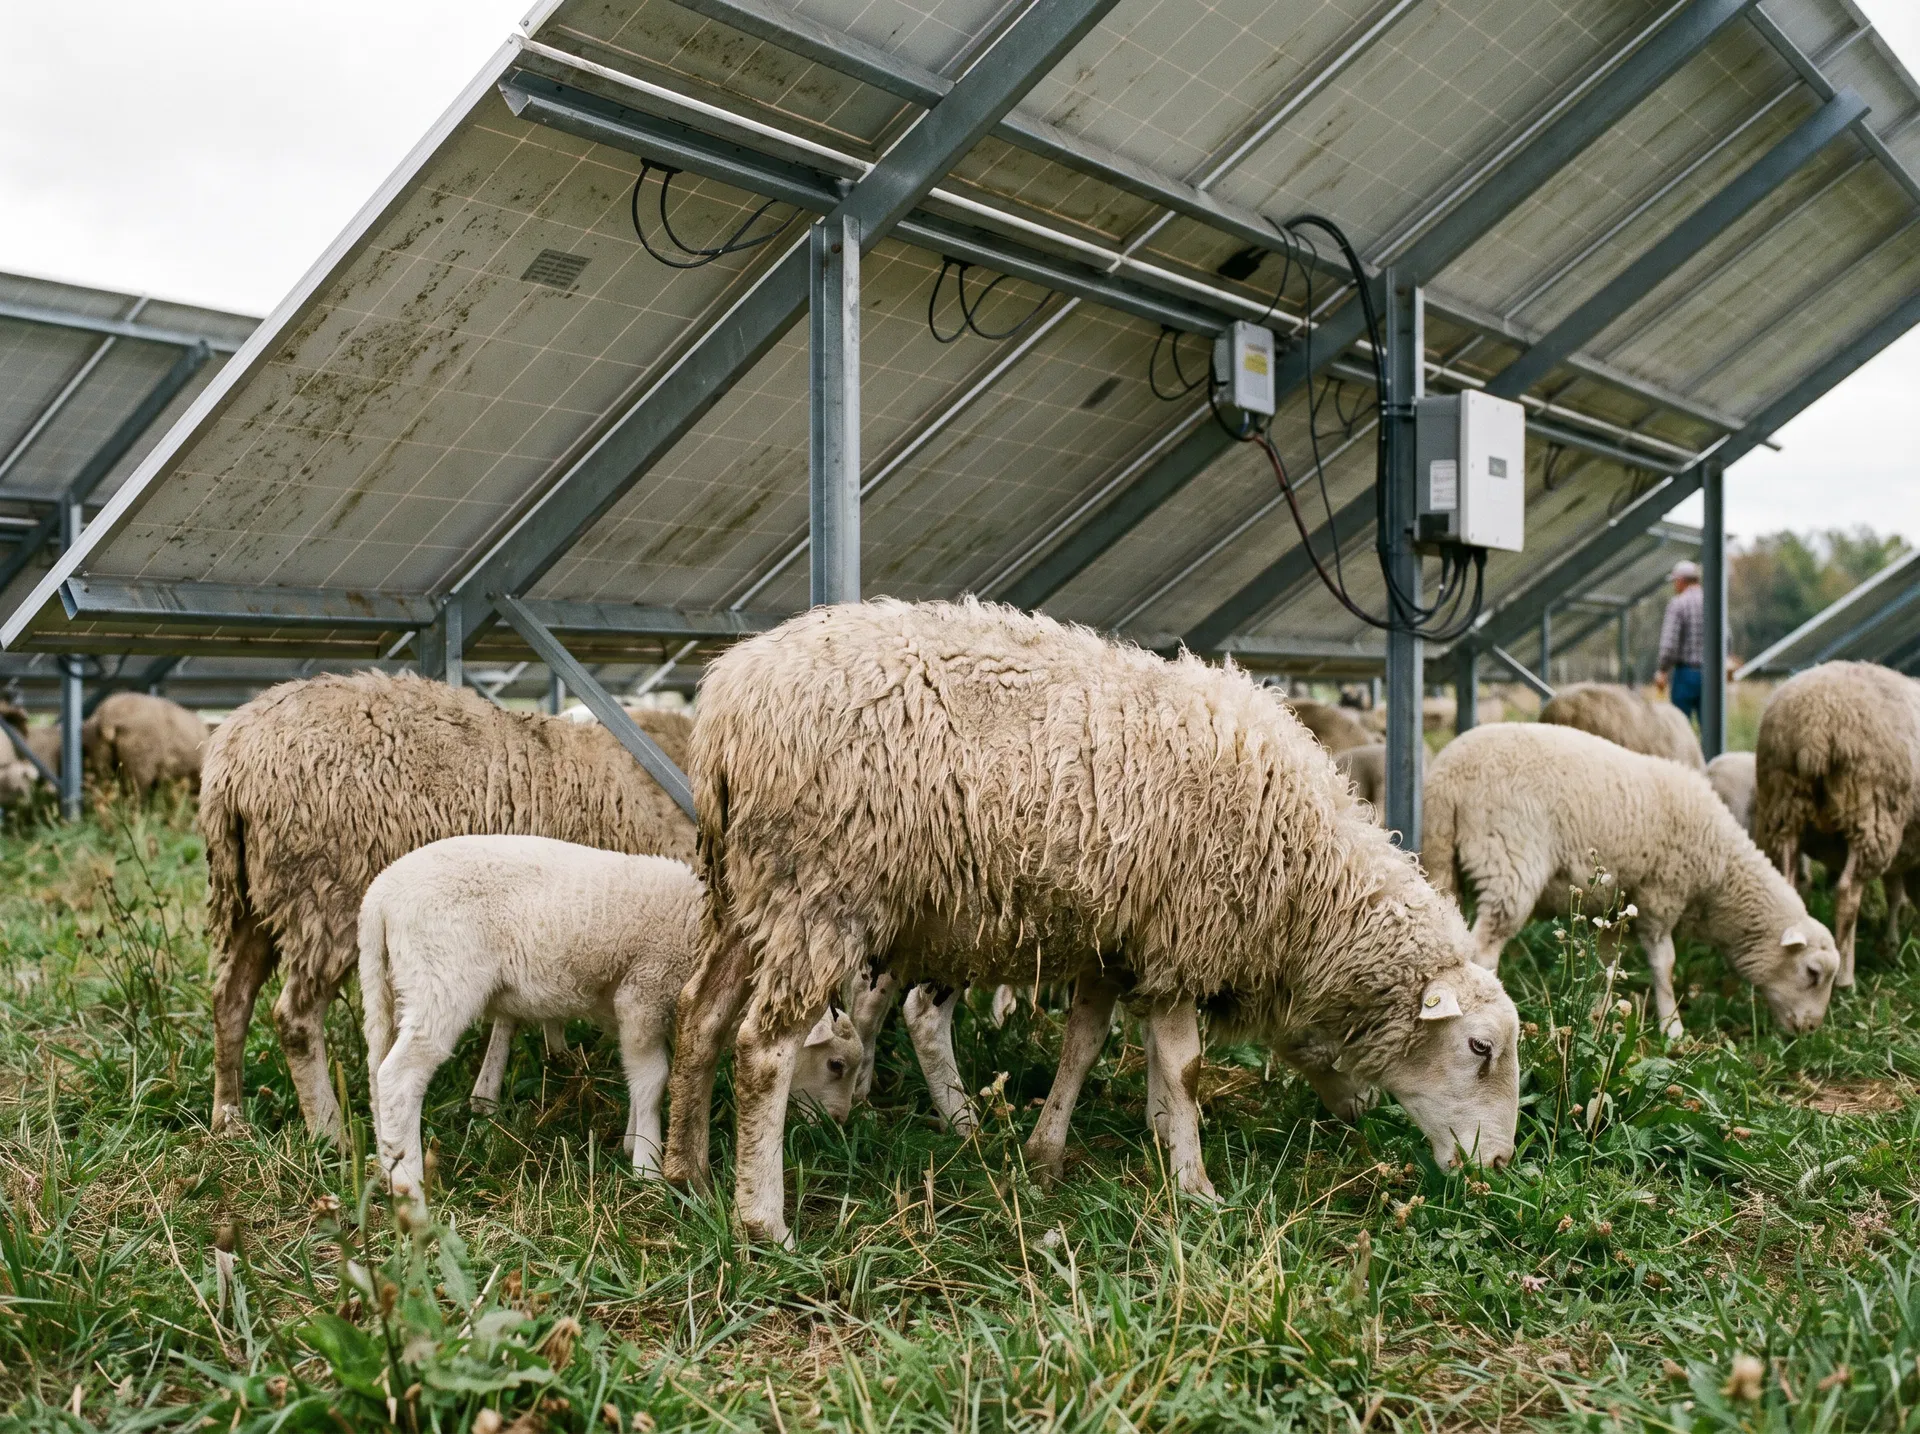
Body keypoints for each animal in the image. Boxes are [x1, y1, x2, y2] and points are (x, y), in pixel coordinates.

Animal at [200, 670, 696, 1140]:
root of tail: (233, 756)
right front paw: (496, 1090)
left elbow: (511, 1013)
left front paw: (509, 1082)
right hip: (325, 895)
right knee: (294, 1019)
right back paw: (330, 1134)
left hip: (253, 898)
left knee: (230, 998)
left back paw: (228, 1117)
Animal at [359, 836, 860, 1195]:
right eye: (836, 1064)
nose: (838, 1124)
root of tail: (380, 896)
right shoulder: (644, 989)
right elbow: (654, 1078)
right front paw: (648, 1168)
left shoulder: (631, 1006)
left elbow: (638, 1077)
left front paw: (633, 1143)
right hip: (442, 978)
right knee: (399, 1076)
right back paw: (409, 1183)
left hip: (391, 985)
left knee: (376, 1068)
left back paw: (387, 1162)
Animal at [663, 599, 1519, 1247]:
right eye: (1479, 1049)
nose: (1500, 1171)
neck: (1306, 881)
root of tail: (729, 699)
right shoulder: (1183, 931)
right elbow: (1184, 1066)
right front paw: (1196, 1184)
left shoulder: (1120, 942)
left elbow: (1084, 1044)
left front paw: (1057, 1150)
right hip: (819, 891)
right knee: (763, 1048)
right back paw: (762, 1220)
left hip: (752, 894)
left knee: (700, 1016)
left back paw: (687, 1173)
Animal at [1422, 722, 1839, 1039]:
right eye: (1813, 973)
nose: (1810, 1031)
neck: (1719, 872)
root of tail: (1447, 777)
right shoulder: (1661, 893)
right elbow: (1664, 965)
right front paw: (1672, 1028)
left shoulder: (1609, 905)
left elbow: (1607, 965)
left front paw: (1599, 1018)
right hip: (1508, 859)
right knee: (1484, 948)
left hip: (1445, 862)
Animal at [1753, 660, 1920, 987]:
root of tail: (1814, 727)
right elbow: (1895, 893)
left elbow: (1894, 892)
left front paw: (1891, 944)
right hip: (1871, 815)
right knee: (1846, 895)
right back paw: (1845, 979)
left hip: (1783, 805)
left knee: (1789, 887)